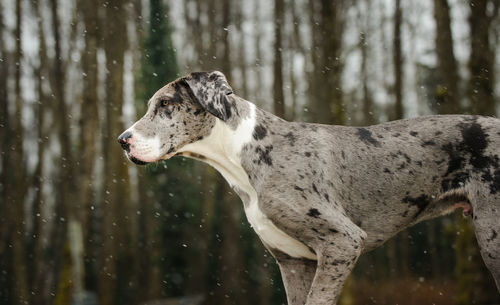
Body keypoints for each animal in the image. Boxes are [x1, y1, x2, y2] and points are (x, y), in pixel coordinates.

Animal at [120, 70, 500, 304]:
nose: (123, 140)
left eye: (166, 104)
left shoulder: (343, 241)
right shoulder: (293, 263)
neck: (245, 151)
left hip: (491, 235)